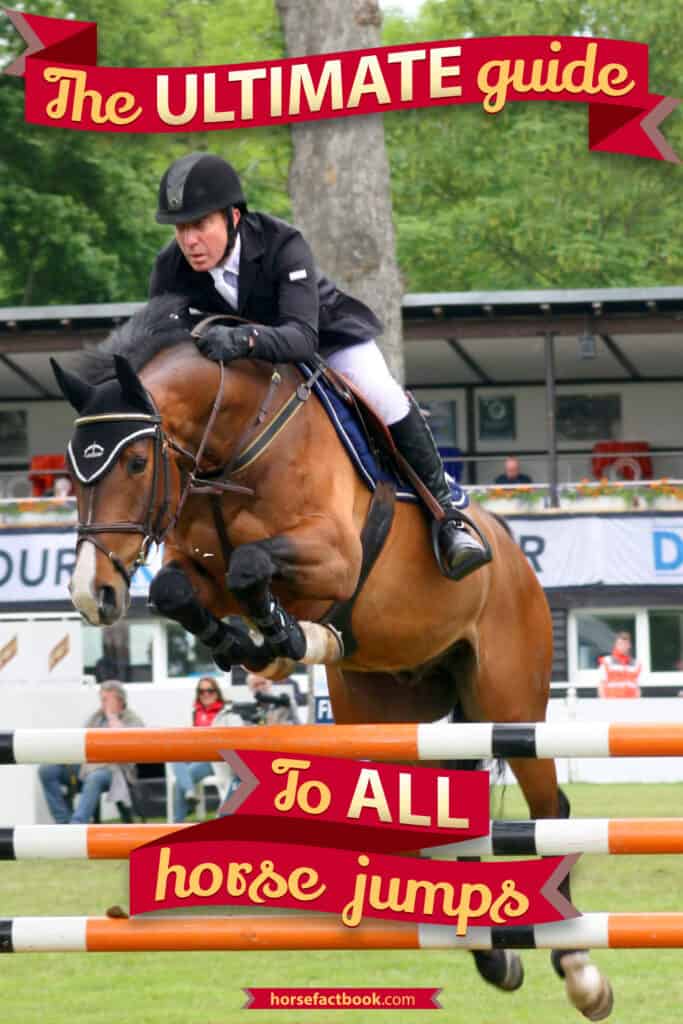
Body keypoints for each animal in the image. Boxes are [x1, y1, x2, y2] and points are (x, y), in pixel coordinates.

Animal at [52, 294, 612, 1020]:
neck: (232, 447)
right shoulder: (193, 563)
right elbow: (183, 588)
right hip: (394, 713)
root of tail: (513, 555)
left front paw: (287, 639)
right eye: (72, 470)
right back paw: (492, 952)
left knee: (551, 811)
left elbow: (251, 564)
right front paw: (255, 645)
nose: (91, 593)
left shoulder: (335, 556)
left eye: (136, 464)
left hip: (509, 702)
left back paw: (580, 970)